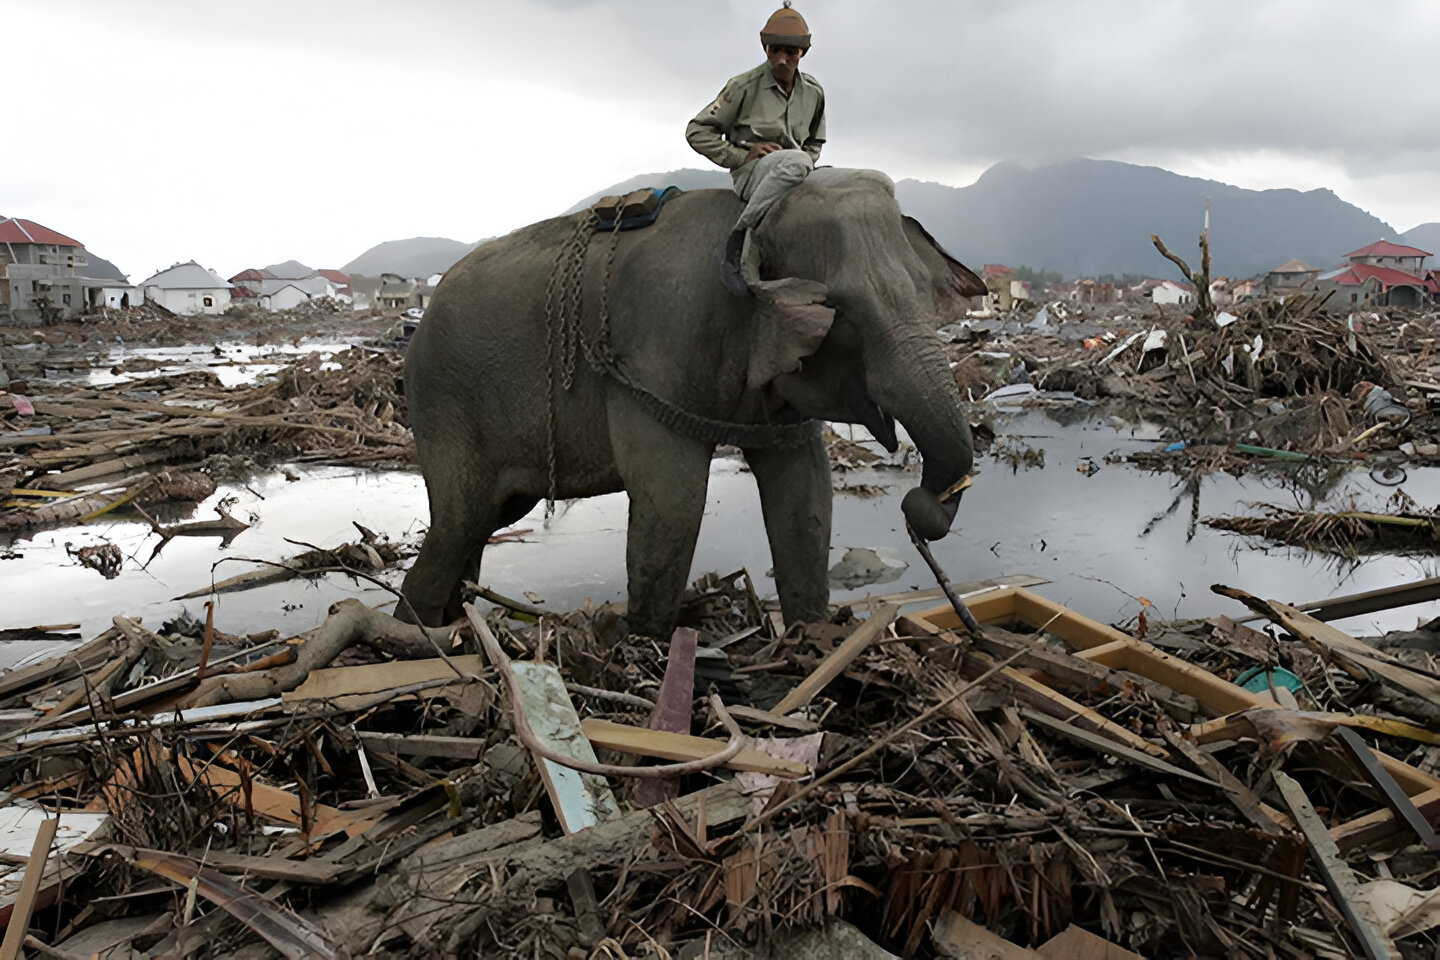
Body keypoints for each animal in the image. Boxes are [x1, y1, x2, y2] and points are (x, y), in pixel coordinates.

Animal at [406, 170, 990, 639]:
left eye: (927, 294)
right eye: (840, 311)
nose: (920, 506)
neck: (749, 224)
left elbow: (805, 490)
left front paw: (811, 640)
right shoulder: (656, 348)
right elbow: (674, 500)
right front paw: (644, 648)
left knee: (485, 521)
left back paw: (455, 623)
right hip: (444, 403)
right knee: (460, 520)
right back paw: (424, 635)